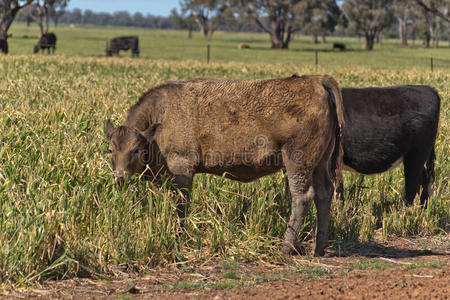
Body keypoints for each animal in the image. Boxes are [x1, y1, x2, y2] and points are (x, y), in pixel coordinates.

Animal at [105, 75, 344, 255]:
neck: (161, 116)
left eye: (136, 149)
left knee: (302, 196)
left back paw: (285, 247)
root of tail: (316, 80)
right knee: (324, 194)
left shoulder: (182, 168)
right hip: (320, 164)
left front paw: (179, 235)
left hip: (297, 160)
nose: (120, 177)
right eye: (110, 150)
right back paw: (319, 248)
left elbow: (182, 204)